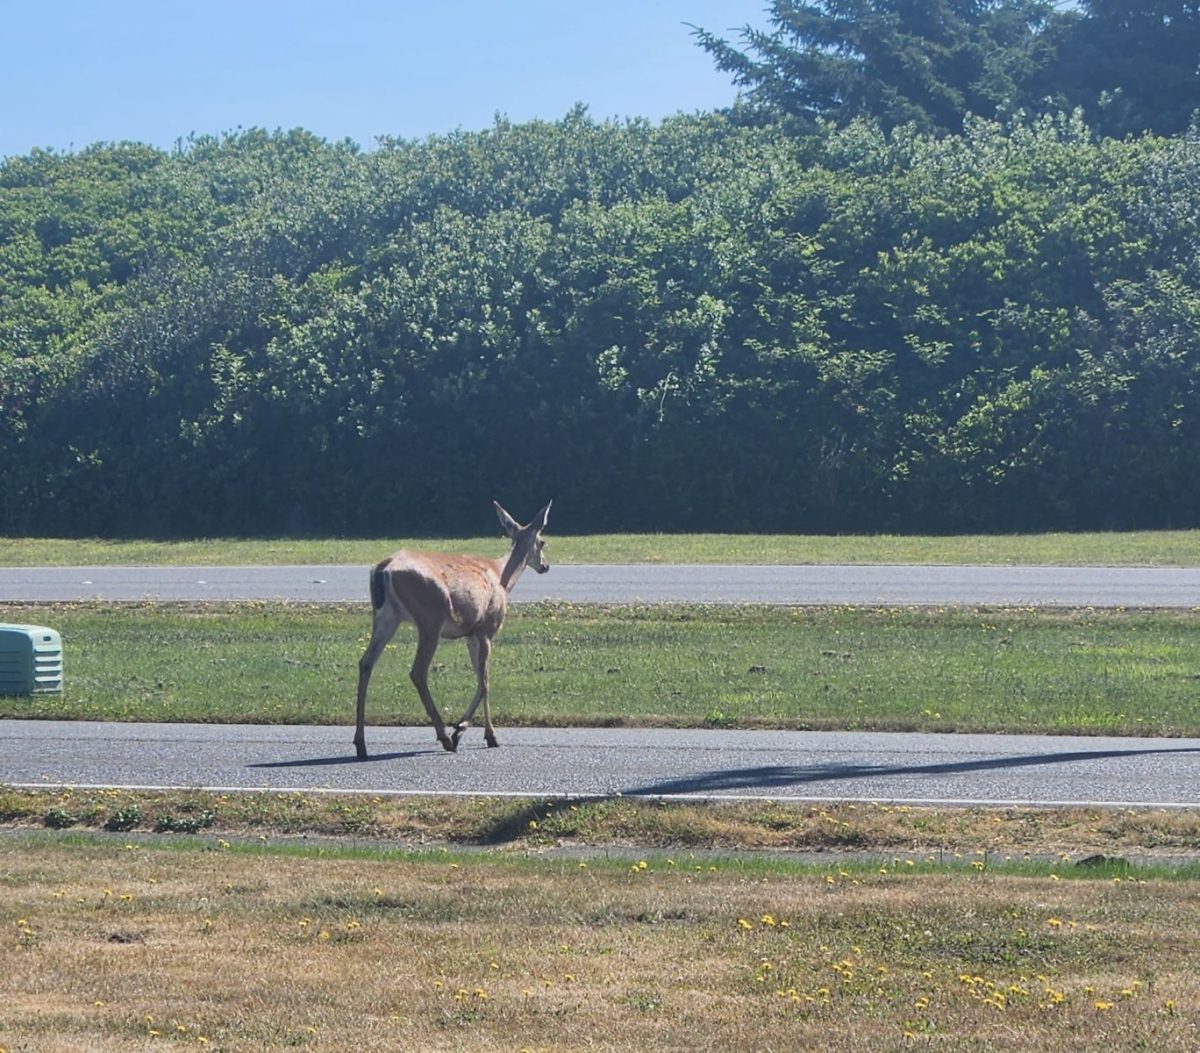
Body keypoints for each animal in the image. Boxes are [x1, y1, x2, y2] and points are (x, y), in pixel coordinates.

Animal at [353, 500, 552, 760]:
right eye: (542, 541)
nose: (545, 566)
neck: (501, 578)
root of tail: (384, 570)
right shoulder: (486, 629)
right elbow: (485, 681)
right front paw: (466, 730)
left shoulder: (471, 635)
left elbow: (480, 677)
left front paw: (485, 734)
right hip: (430, 618)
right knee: (418, 671)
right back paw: (445, 737)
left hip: (385, 617)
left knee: (366, 662)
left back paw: (360, 744)